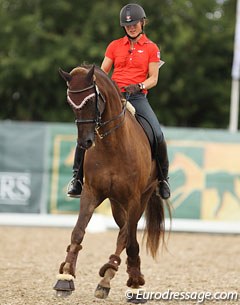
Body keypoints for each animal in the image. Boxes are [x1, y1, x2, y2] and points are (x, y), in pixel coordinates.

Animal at [54, 65, 171, 300]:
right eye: (71, 103)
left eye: (91, 100)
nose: (85, 142)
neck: (112, 145)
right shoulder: (91, 193)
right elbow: (78, 231)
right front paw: (65, 277)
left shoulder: (133, 198)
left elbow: (124, 238)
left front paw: (110, 280)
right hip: (116, 203)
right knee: (127, 232)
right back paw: (129, 276)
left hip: (141, 197)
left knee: (128, 233)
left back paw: (129, 280)